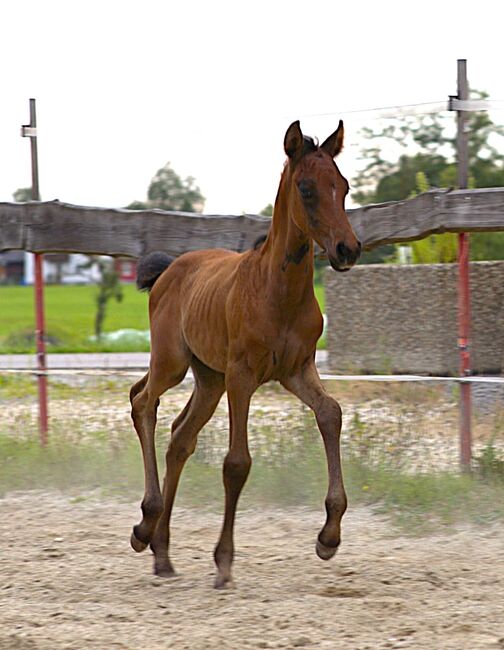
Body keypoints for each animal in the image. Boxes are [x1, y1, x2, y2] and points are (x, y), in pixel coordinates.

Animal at [128, 119, 360, 584]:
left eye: (343, 186)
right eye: (306, 188)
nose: (348, 249)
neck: (278, 292)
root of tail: (167, 271)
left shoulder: (296, 369)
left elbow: (331, 413)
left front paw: (329, 537)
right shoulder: (242, 375)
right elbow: (237, 462)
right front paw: (223, 560)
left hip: (208, 378)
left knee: (180, 437)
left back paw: (162, 552)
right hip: (173, 363)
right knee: (142, 402)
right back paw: (145, 524)